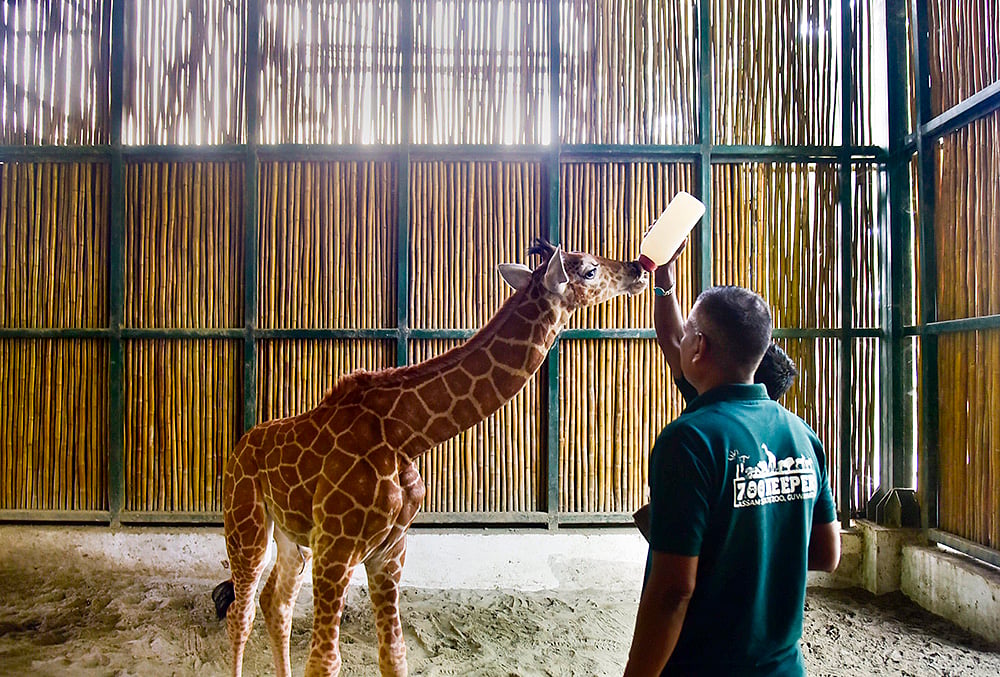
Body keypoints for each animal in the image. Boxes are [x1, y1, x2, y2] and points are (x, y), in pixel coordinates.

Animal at [213, 238, 648, 677]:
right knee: (240, 612)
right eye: (590, 269)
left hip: (292, 538)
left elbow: (394, 654)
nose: (638, 269)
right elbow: (325, 662)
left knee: (276, 604)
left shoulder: (388, 551)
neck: (406, 434)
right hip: (246, 523)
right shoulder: (337, 549)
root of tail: (239, 447)